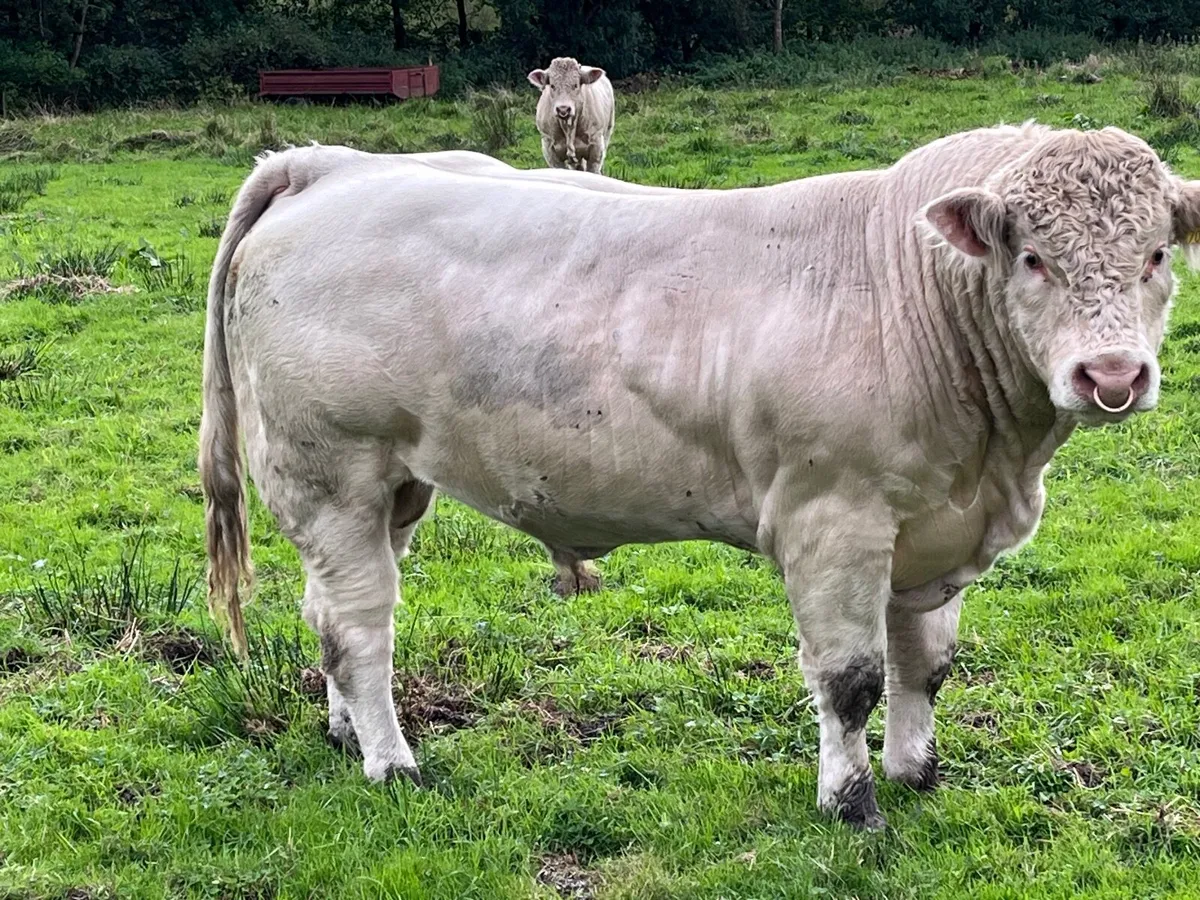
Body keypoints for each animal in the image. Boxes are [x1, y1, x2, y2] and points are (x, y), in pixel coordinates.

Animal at [200, 123, 1200, 830]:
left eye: (1157, 254)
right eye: (1033, 257)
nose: (1112, 375)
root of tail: (326, 164)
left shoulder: (932, 527)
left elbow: (926, 664)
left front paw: (917, 771)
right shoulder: (831, 519)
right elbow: (852, 678)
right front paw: (853, 802)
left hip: (396, 486)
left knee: (329, 612)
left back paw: (344, 732)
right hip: (331, 472)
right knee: (360, 626)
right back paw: (391, 761)